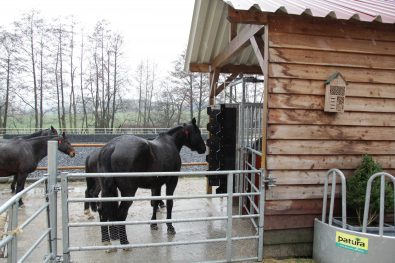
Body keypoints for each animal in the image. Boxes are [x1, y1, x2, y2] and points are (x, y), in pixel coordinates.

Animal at [97, 118, 206, 249]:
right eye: (198, 132)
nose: (204, 148)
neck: (170, 143)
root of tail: (112, 147)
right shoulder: (172, 181)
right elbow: (169, 203)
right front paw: (170, 227)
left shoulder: (156, 184)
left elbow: (155, 202)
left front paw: (153, 224)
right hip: (128, 192)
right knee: (121, 214)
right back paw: (125, 242)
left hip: (107, 189)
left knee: (102, 211)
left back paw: (106, 240)